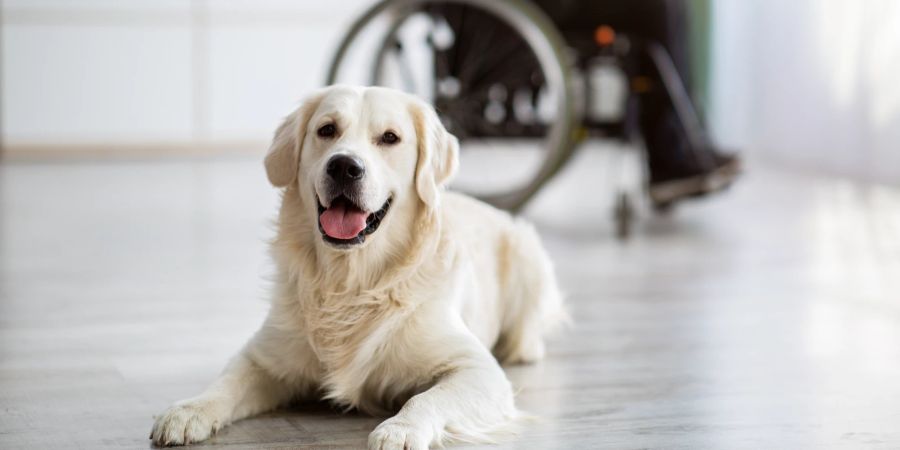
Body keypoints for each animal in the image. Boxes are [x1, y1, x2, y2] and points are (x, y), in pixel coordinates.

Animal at [153, 85, 564, 450]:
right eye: (327, 130)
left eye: (390, 138)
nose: (344, 166)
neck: (349, 280)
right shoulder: (264, 357)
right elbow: (226, 383)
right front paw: (188, 411)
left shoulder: (477, 369)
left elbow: (425, 398)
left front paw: (400, 430)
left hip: (527, 255)